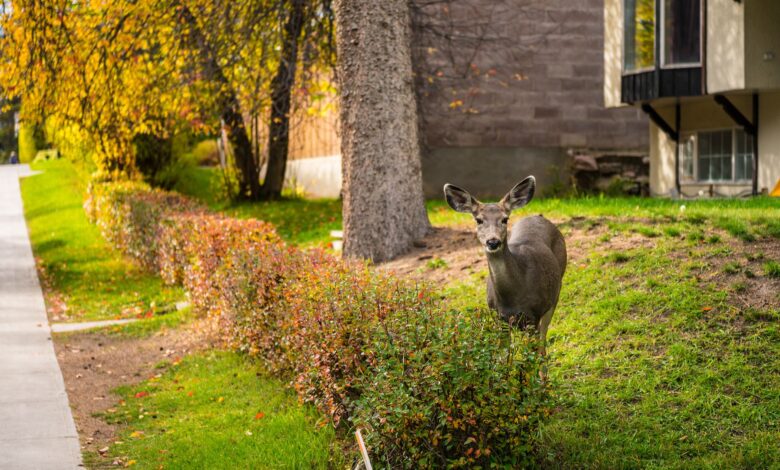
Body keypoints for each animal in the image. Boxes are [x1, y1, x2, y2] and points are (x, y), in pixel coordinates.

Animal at [443, 176, 567, 355]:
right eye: (478, 220)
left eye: (505, 219)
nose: (493, 241)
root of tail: (539, 216)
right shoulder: (498, 318)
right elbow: (504, 356)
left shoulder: (533, 315)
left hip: (555, 292)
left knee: (543, 342)